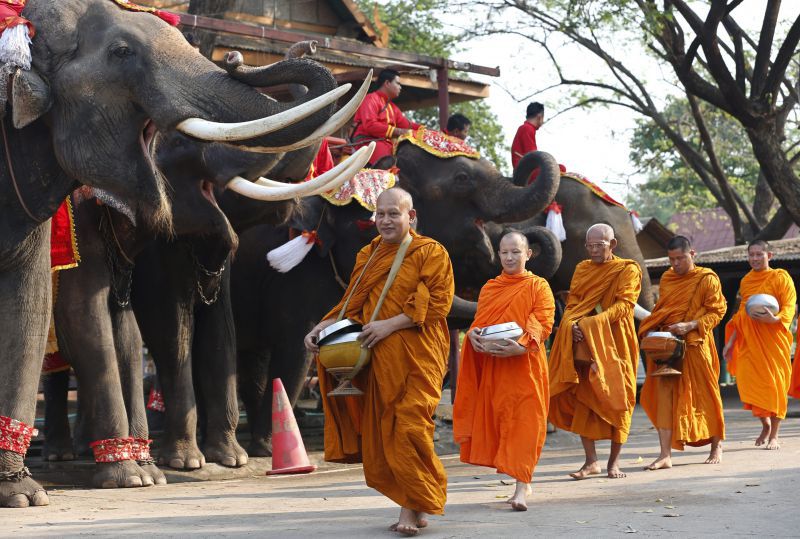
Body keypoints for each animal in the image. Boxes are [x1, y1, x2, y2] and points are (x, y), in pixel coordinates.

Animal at [0, 0, 366, 506]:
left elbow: (122, 329)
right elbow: (112, 321)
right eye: (121, 52)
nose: (234, 56)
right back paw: (58, 455)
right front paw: (164, 469)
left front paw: (164, 470)